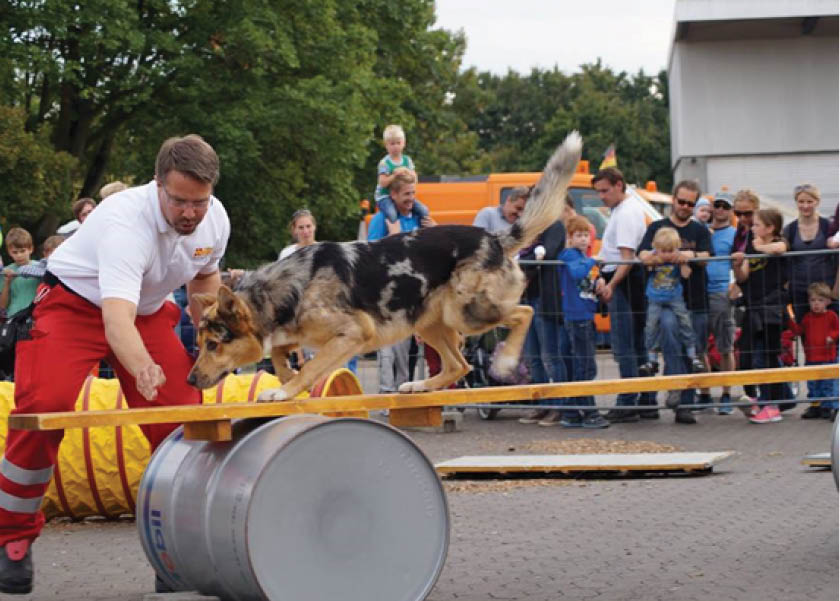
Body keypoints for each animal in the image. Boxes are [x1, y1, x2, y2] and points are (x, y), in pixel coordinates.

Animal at [186, 134, 580, 400]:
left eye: (213, 345)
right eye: (201, 343)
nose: (189, 381)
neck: (291, 288)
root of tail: (496, 237)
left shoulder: (352, 332)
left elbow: (310, 365)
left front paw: (286, 390)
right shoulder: (296, 335)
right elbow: (284, 355)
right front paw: (285, 383)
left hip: (465, 313)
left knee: (523, 313)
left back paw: (505, 362)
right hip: (429, 322)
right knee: (460, 365)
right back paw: (419, 384)